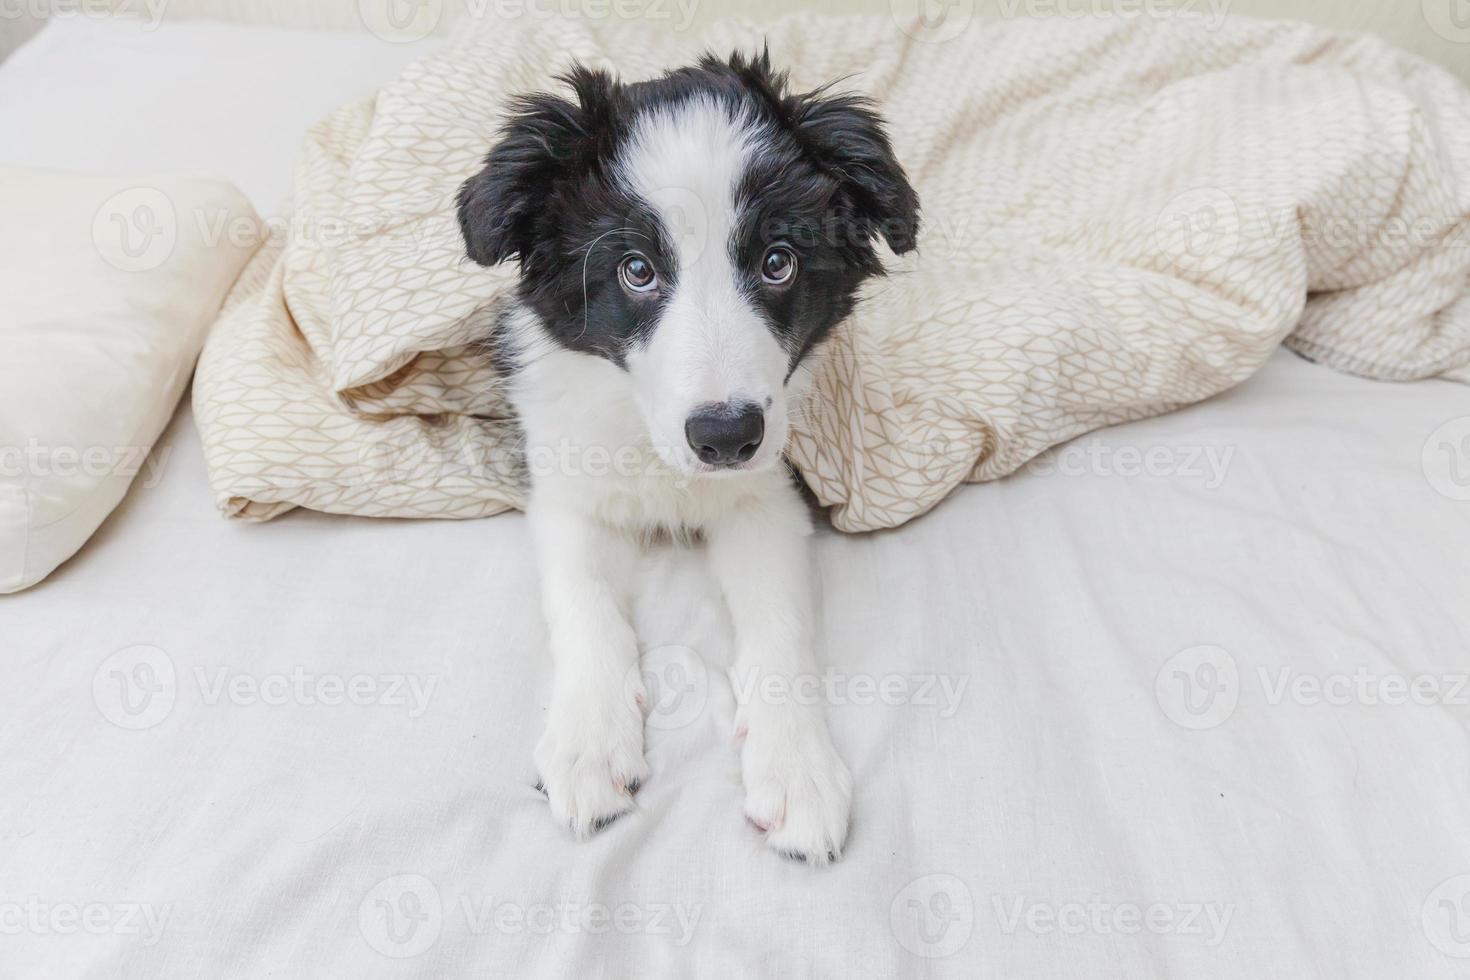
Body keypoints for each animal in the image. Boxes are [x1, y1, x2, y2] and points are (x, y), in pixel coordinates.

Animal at [458, 49, 917, 863]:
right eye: (637, 270)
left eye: (777, 262)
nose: (727, 436)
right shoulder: (568, 491)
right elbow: (584, 602)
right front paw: (588, 744)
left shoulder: (768, 495)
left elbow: (778, 626)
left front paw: (796, 766)